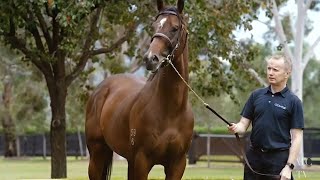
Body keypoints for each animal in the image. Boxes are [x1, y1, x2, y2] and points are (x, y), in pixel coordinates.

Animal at [85, 0, 194, 179]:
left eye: (175, 28)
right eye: (154, 26)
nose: (151, 58)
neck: (172, 110)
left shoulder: (178, 165)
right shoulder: (142, 161)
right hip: (97, 154)